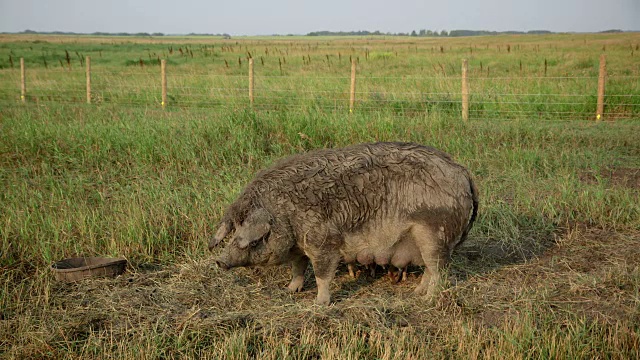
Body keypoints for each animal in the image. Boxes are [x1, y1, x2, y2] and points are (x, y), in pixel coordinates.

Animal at [208, 142, 478, 306]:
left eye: (252, 239)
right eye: (234, 228)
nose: (220, 261)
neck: (284, 214)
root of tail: (463, 172)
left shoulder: (324, 241)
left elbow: (321, 275)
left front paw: (319, 304)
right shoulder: (300, 247)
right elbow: (297, 268)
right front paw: (289, 290)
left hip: (434, 233)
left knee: (438, 270)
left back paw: (426, 300)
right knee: (431, 270)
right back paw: (416, 293)